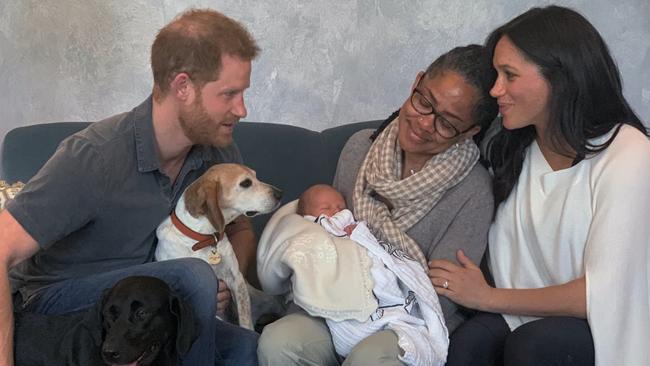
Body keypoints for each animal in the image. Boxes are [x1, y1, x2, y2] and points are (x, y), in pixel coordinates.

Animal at [156, 163, 280, 328]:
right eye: (246, 183)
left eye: (255, 176)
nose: (280, 194)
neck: (205, 239)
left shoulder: (236, 279)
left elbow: (245, 322)